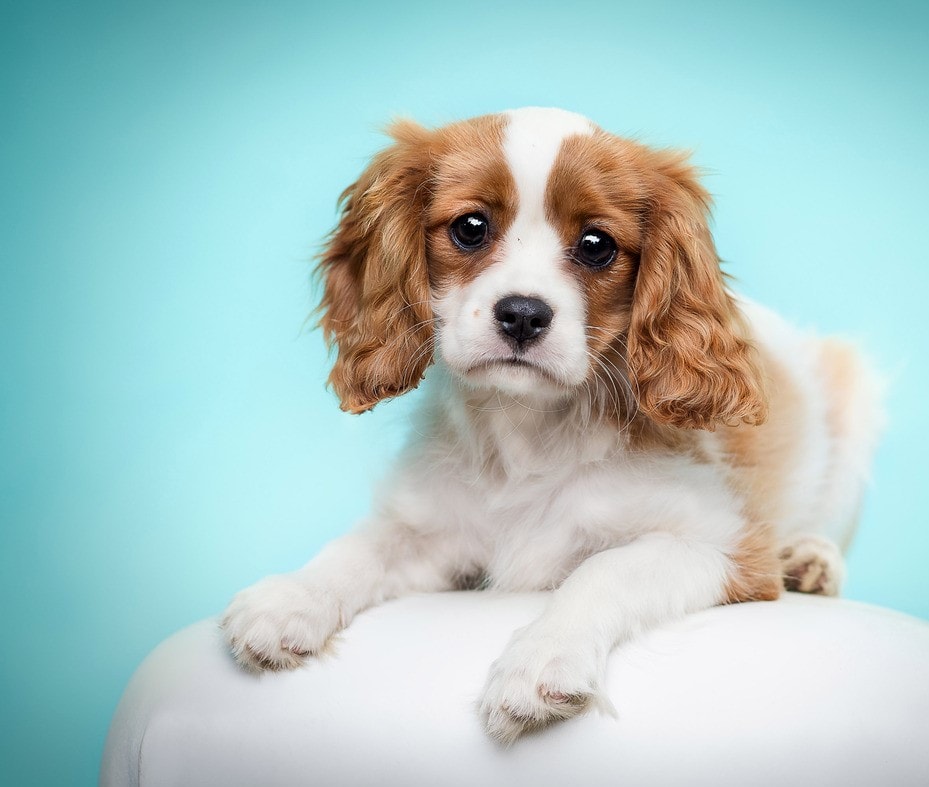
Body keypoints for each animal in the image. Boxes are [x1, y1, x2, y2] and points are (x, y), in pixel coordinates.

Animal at [221, 107, 880, 740]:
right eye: (470, 228)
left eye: (595, 244)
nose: (522, 314)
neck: (527, 433)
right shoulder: (435, 536)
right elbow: (365, 544)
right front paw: (292, 596)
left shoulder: (721, 545)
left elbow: (602, 569)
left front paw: (540, 659)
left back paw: (810, 559)